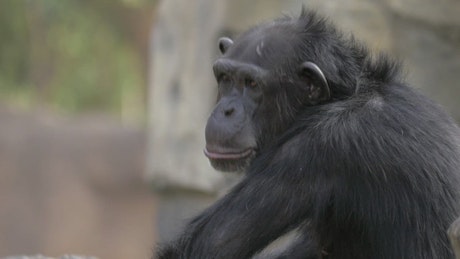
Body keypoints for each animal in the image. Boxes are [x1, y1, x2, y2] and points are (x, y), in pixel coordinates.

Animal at [156, 8, 460, 259]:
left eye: (252, 84)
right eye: (225, 78)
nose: (225, 110)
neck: (343, 96)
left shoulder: (311, 152)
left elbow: (207, 246)